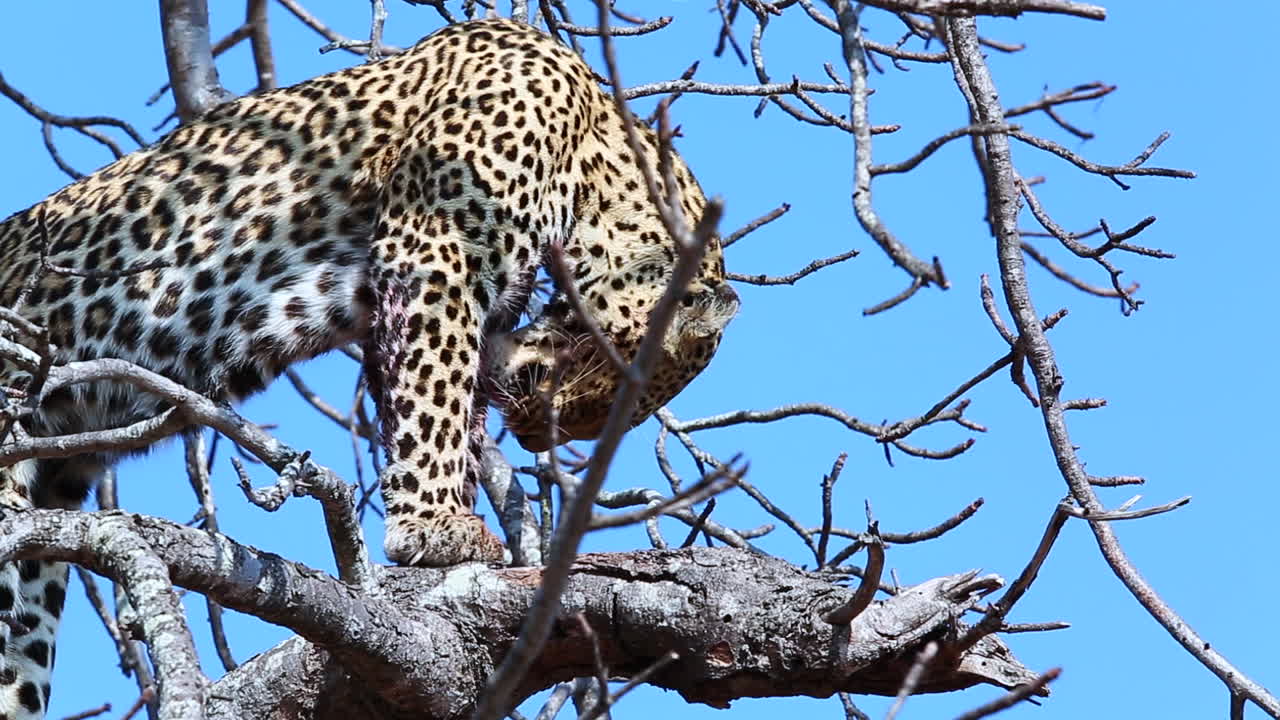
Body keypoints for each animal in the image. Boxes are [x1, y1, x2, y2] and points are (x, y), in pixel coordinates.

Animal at [0, 17, 739, 719]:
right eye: (617, 381)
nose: (534, 437)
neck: (593, 155)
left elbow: (433, 401)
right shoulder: (434, 247)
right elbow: (437, 396)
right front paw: (433, 529)